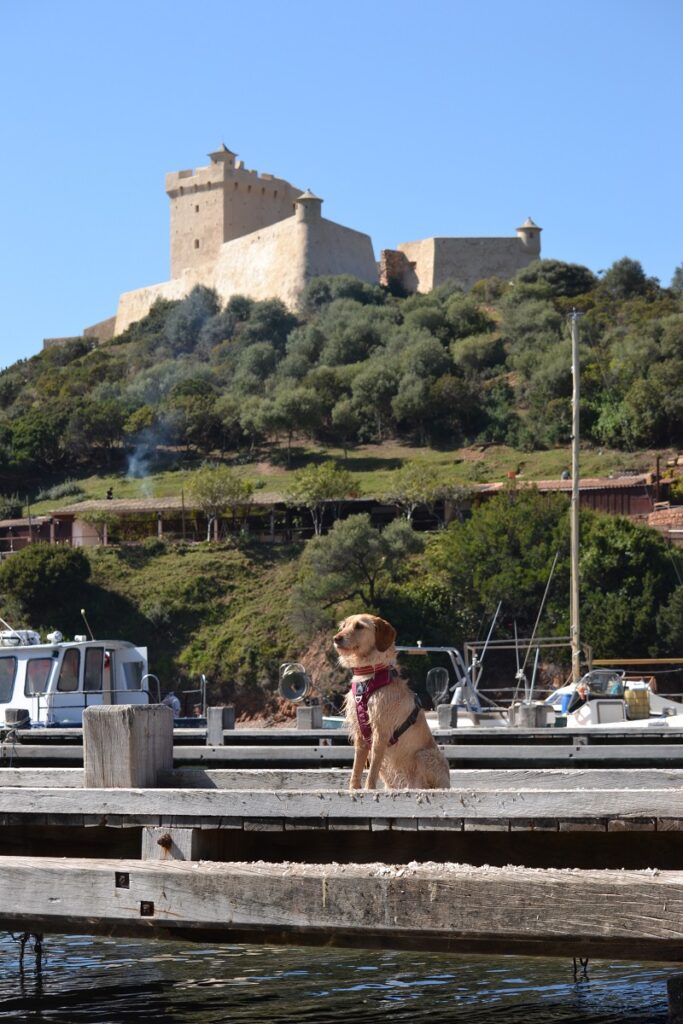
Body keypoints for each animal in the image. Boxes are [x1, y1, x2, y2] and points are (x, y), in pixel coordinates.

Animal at [333, 610, 450, 786]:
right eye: (344, 626)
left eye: (359, 626)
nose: (336, 638)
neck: (368, 676)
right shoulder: (361, 735)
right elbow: (356, 769)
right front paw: (353, 788)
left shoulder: (381, 732)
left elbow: (372, 771)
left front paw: (368, 788)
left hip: (424, 756)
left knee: (423, 784)